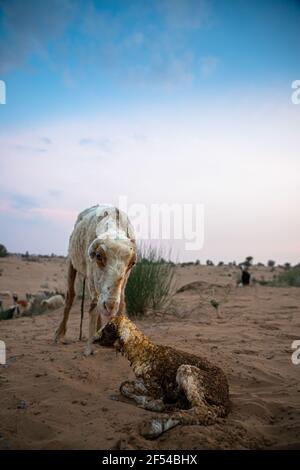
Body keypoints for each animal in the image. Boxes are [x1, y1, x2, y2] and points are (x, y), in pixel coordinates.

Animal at [54, 204, 137, 354]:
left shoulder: (124, 281)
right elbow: (93, 307)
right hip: (72, 262)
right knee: (71, 296)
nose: (110, 306)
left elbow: (122, 303)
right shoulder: (91, 276)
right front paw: (88, 349)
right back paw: (59, 333)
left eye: (132, 263)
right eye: (99, 256)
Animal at [98, 314, 230, 438]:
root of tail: (226, 398)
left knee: (205, 411)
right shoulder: (144, 384)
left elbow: (155, 400)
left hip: (186, 369)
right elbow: (124, 386)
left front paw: (150, 404)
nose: (96, 339)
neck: (142, 352)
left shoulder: (157, 391)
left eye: (107, 329)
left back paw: (155, 423)